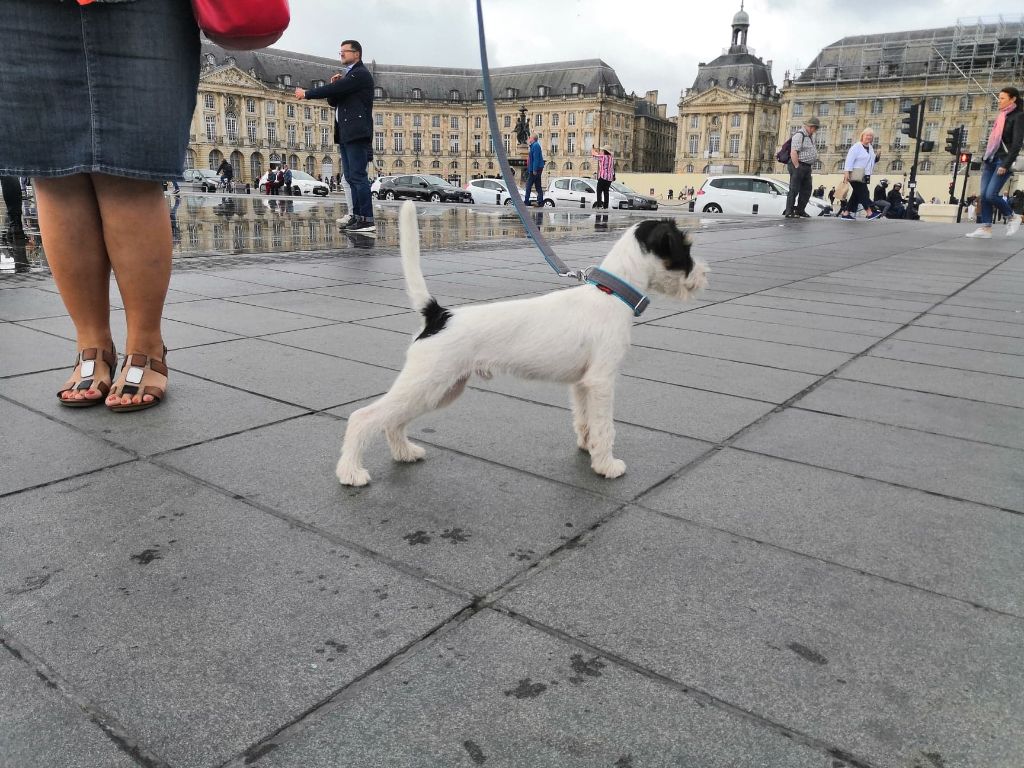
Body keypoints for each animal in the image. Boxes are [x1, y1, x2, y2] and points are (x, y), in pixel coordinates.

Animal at [333, 201, 704, 483]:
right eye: (685, 249)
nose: (704, 276)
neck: (612, 292)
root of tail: (438, 315)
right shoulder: (602, 381)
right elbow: (606, 427)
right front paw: (606, 465)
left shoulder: (583, 384)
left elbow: (585, 419)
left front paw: (588, 448)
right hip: (427, 383)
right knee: (364, 417)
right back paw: (351, 472)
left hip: (439, 389)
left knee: (393, 420)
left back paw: (405, 453)